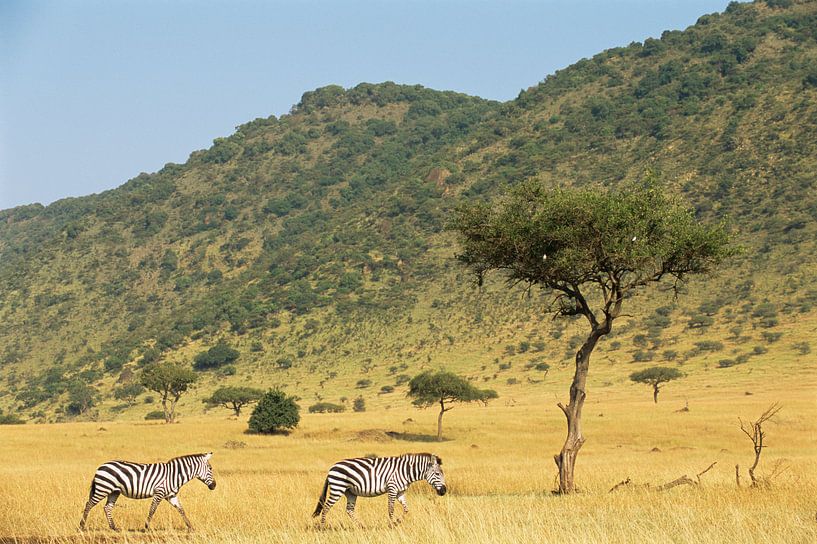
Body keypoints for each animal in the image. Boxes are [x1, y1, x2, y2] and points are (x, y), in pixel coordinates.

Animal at [77, 450, 214, 532]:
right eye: (210, 469)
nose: (214, 486)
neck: (174, 475)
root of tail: (100, 466)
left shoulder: (171, 495)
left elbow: (181, 510)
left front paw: (191, 527)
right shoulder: (159, 492)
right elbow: (152, 509)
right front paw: (146, 527)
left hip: (114, 491)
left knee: (107, 508)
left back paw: (114, 528)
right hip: (103, 488)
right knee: (89, 504)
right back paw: (82, 527)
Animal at [310, 450, 446, 528]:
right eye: (437, 474)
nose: (444, 491)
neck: (406, 471)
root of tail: (332, 468)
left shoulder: (400, 491)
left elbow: (406, 509)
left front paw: (397, 522)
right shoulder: (392, 488)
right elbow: (390, 509)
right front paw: (392, 525)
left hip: (350, 492)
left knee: (349, 510)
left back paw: (362, 526)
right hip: (337, 488)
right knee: (326, 507)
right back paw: (322, 528)